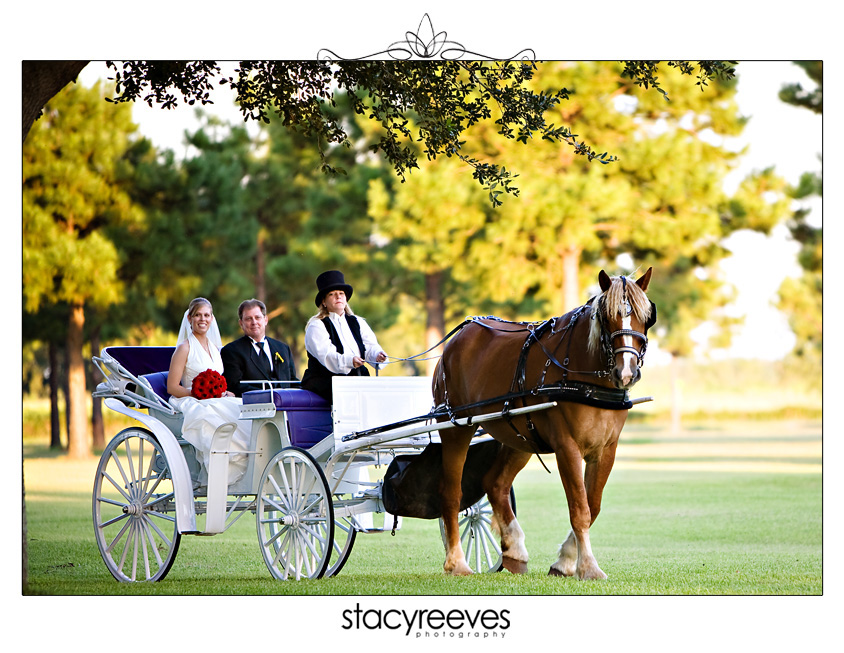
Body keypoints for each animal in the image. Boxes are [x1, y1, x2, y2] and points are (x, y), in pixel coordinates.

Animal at [432, 268, 656, 580]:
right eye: (606, 316)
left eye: (645, 316)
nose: (626, 372)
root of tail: (458, 338)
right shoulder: (567, 448)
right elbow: (580, 509)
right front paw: (588, 566)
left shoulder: (606, 449)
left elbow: (593, 505)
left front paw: (565, 561)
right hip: (455, 427)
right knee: (452, 493)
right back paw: (456, 561)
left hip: (519, 438)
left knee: (495, 483)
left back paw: (514, 550)